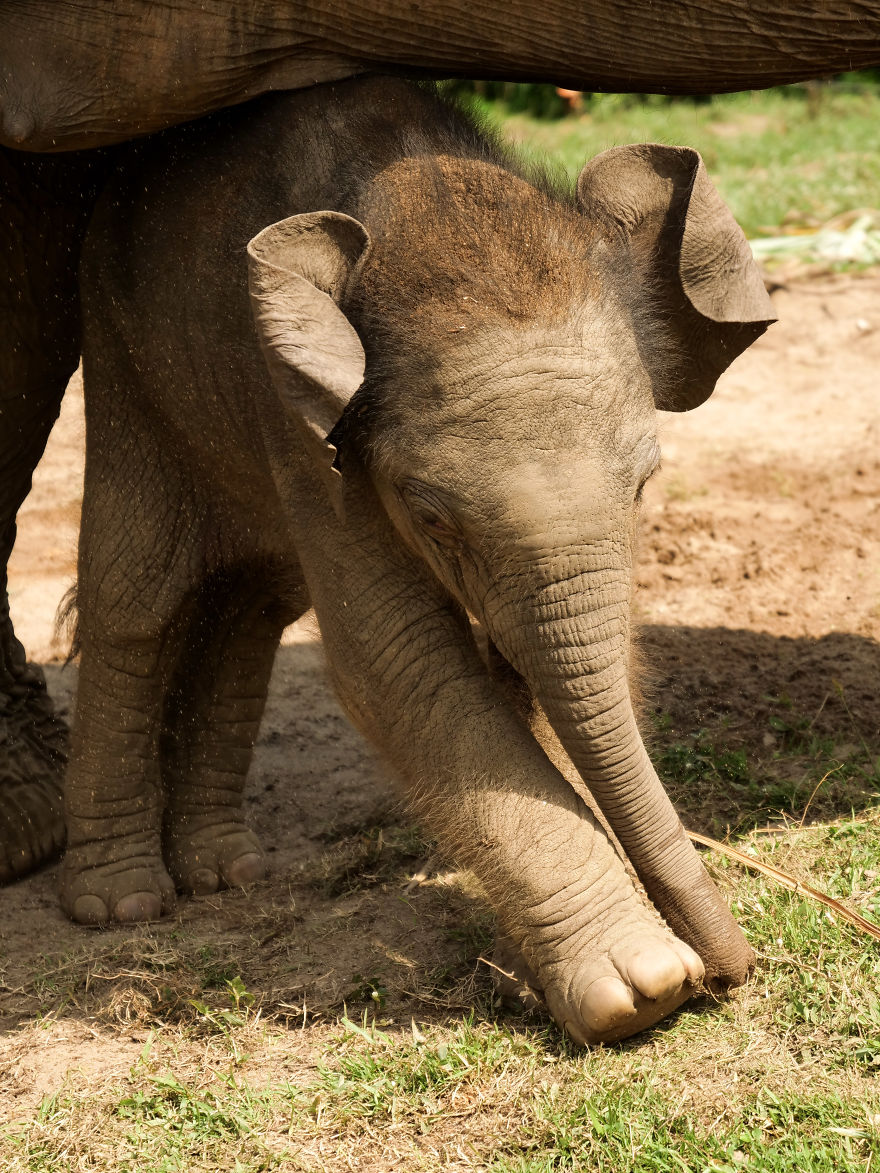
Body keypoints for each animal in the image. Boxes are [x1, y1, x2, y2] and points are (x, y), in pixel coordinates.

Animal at [68, 75, 773, 1044]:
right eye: (432, 516)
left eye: (645, 483)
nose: (736, 971)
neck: (411, 188)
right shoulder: (303, 426)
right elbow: (395, 662)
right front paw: (643, 986)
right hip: (125, 364)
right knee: (133, 598)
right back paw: (121, 902)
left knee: (252, 605)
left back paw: (227, 872)